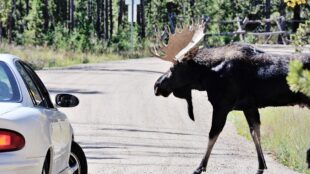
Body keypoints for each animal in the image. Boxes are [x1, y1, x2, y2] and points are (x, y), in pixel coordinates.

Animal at [151, 23, 310, 174]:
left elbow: (212, 134)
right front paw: (261, 166)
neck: (207, 76)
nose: (157, 85)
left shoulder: (222, 105)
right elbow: (255, 133)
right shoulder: (249, 106)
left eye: (173, 68)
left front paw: (200, 167)